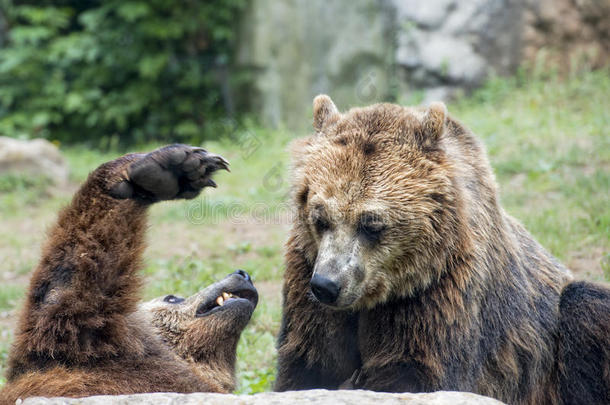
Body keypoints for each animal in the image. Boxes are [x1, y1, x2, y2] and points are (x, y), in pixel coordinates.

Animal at [276, 95, 608, 404]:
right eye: (320, 218)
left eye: (371, 225)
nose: (327, 285)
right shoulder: (305, 277)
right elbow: (307, 363)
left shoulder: (439, 289)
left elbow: (415, 373)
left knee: (584, 308)